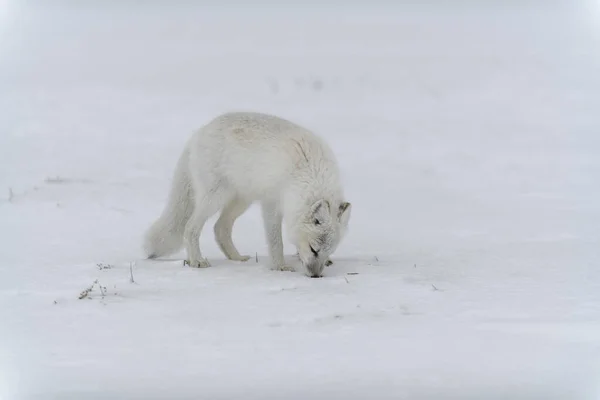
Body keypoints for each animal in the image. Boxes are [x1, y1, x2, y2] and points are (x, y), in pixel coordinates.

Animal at [144, 111, 352, 276]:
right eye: (313, 249)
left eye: (327, 253)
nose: (316, 276)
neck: (310, 173)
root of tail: (199, 133)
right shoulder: (271, 204)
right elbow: (276, 242)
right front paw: (280, 267)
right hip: (214, 198)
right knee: (190, 228)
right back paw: (197, 261)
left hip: (241, 201)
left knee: (220, 228)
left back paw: (237, 258)